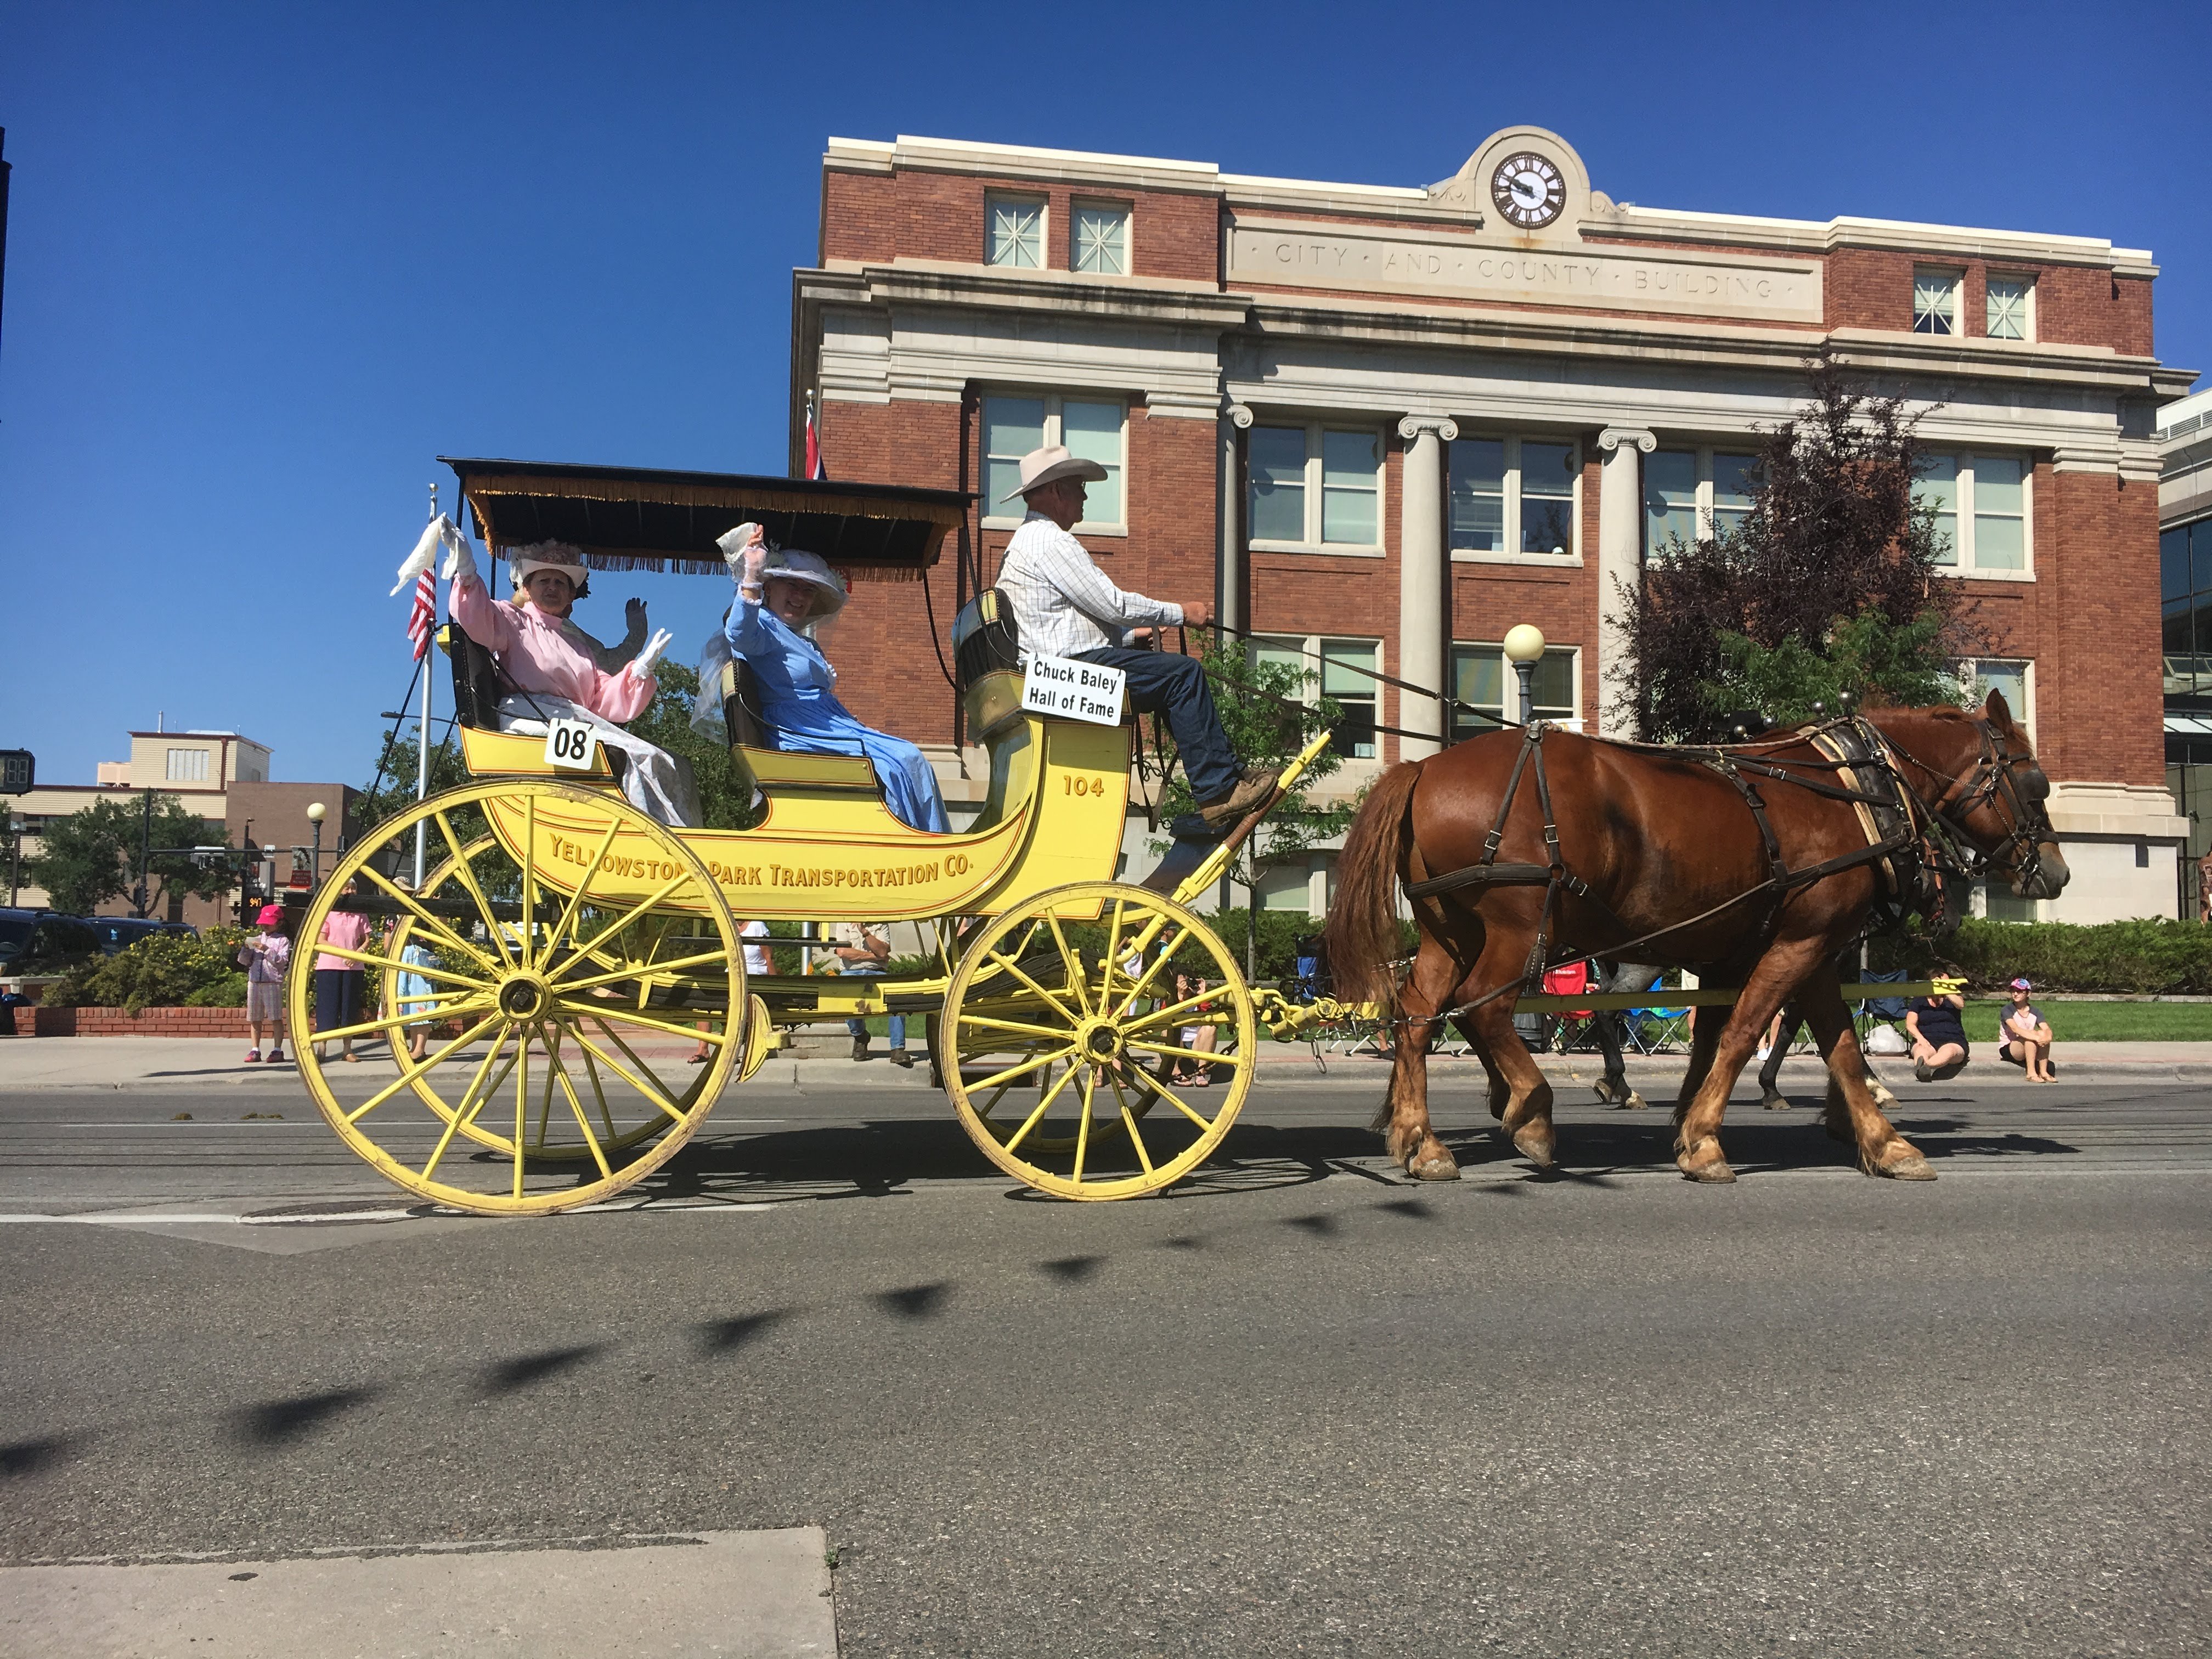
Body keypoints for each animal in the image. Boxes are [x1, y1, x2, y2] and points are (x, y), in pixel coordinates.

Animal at [1327, 695, 2070, 1186]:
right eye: (2034, 783)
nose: (2057, 873)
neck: (1853, 788)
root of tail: (1424, 769)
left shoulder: (1794, 950)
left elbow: (1824, 1044)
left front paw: (1883, 1143)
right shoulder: (1800, 944)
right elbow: (1745, 1035)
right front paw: (1707, 1140)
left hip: (1450, 930)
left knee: (1418, 1013)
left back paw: (1422, 1139)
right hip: (1518, 925)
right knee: (1485, 1008)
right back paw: (1531, 1110)